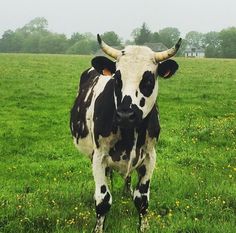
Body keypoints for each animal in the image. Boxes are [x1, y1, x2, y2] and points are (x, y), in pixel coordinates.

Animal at [69, 33, 182, 232]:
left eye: (148, 80)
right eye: (117, 78)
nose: (125, 115)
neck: (130, 133)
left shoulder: (150, 156)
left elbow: (142, 199)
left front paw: (144, 227)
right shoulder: (99, 156)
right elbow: (103, 200)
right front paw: (99, 227)